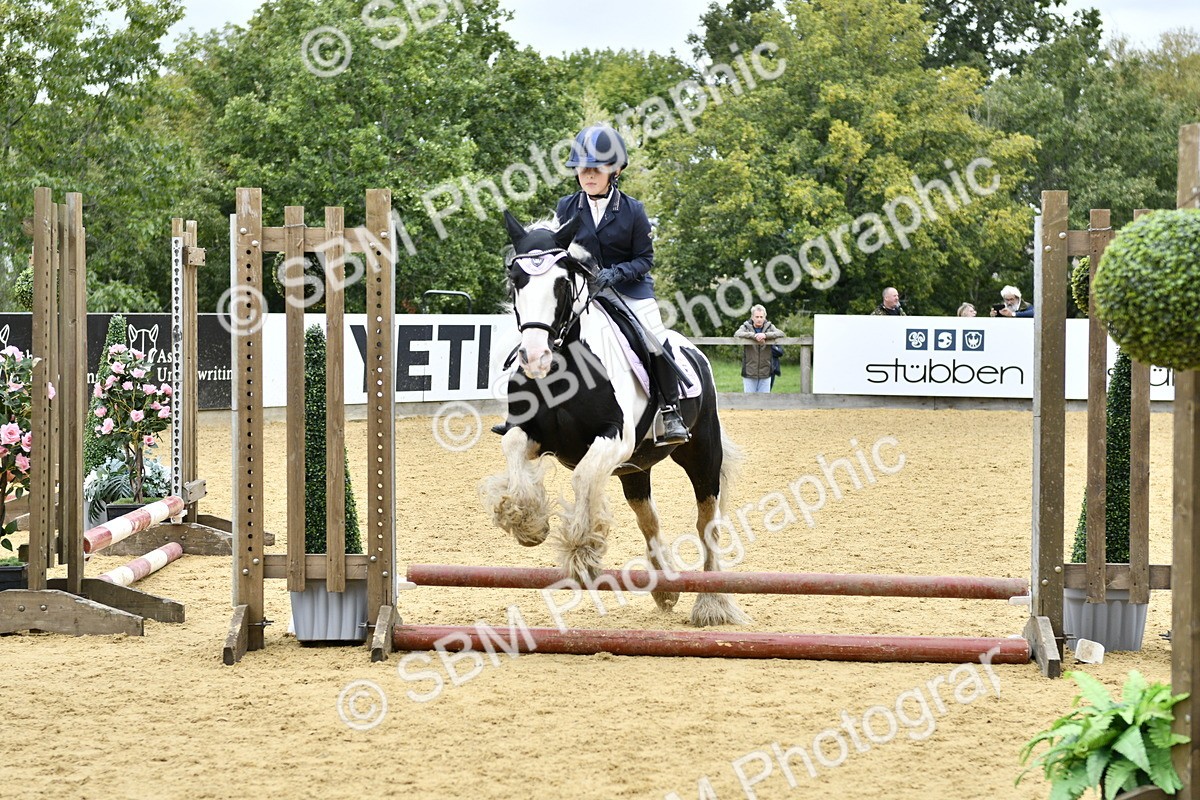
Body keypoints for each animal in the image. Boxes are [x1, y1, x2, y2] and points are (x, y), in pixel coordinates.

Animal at [480, 211, 747, 626]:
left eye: (562, 282)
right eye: (516, 280)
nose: (535, 358)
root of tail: (695, 352)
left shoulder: (614, 438)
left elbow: (583, 477)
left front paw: (582, 551)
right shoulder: (534, 434)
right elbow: (512, 448)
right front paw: (528, 522)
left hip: (702, 455)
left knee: (706, 524)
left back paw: (712, 603)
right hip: (635, 470)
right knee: (649, 519)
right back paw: (666, 589)